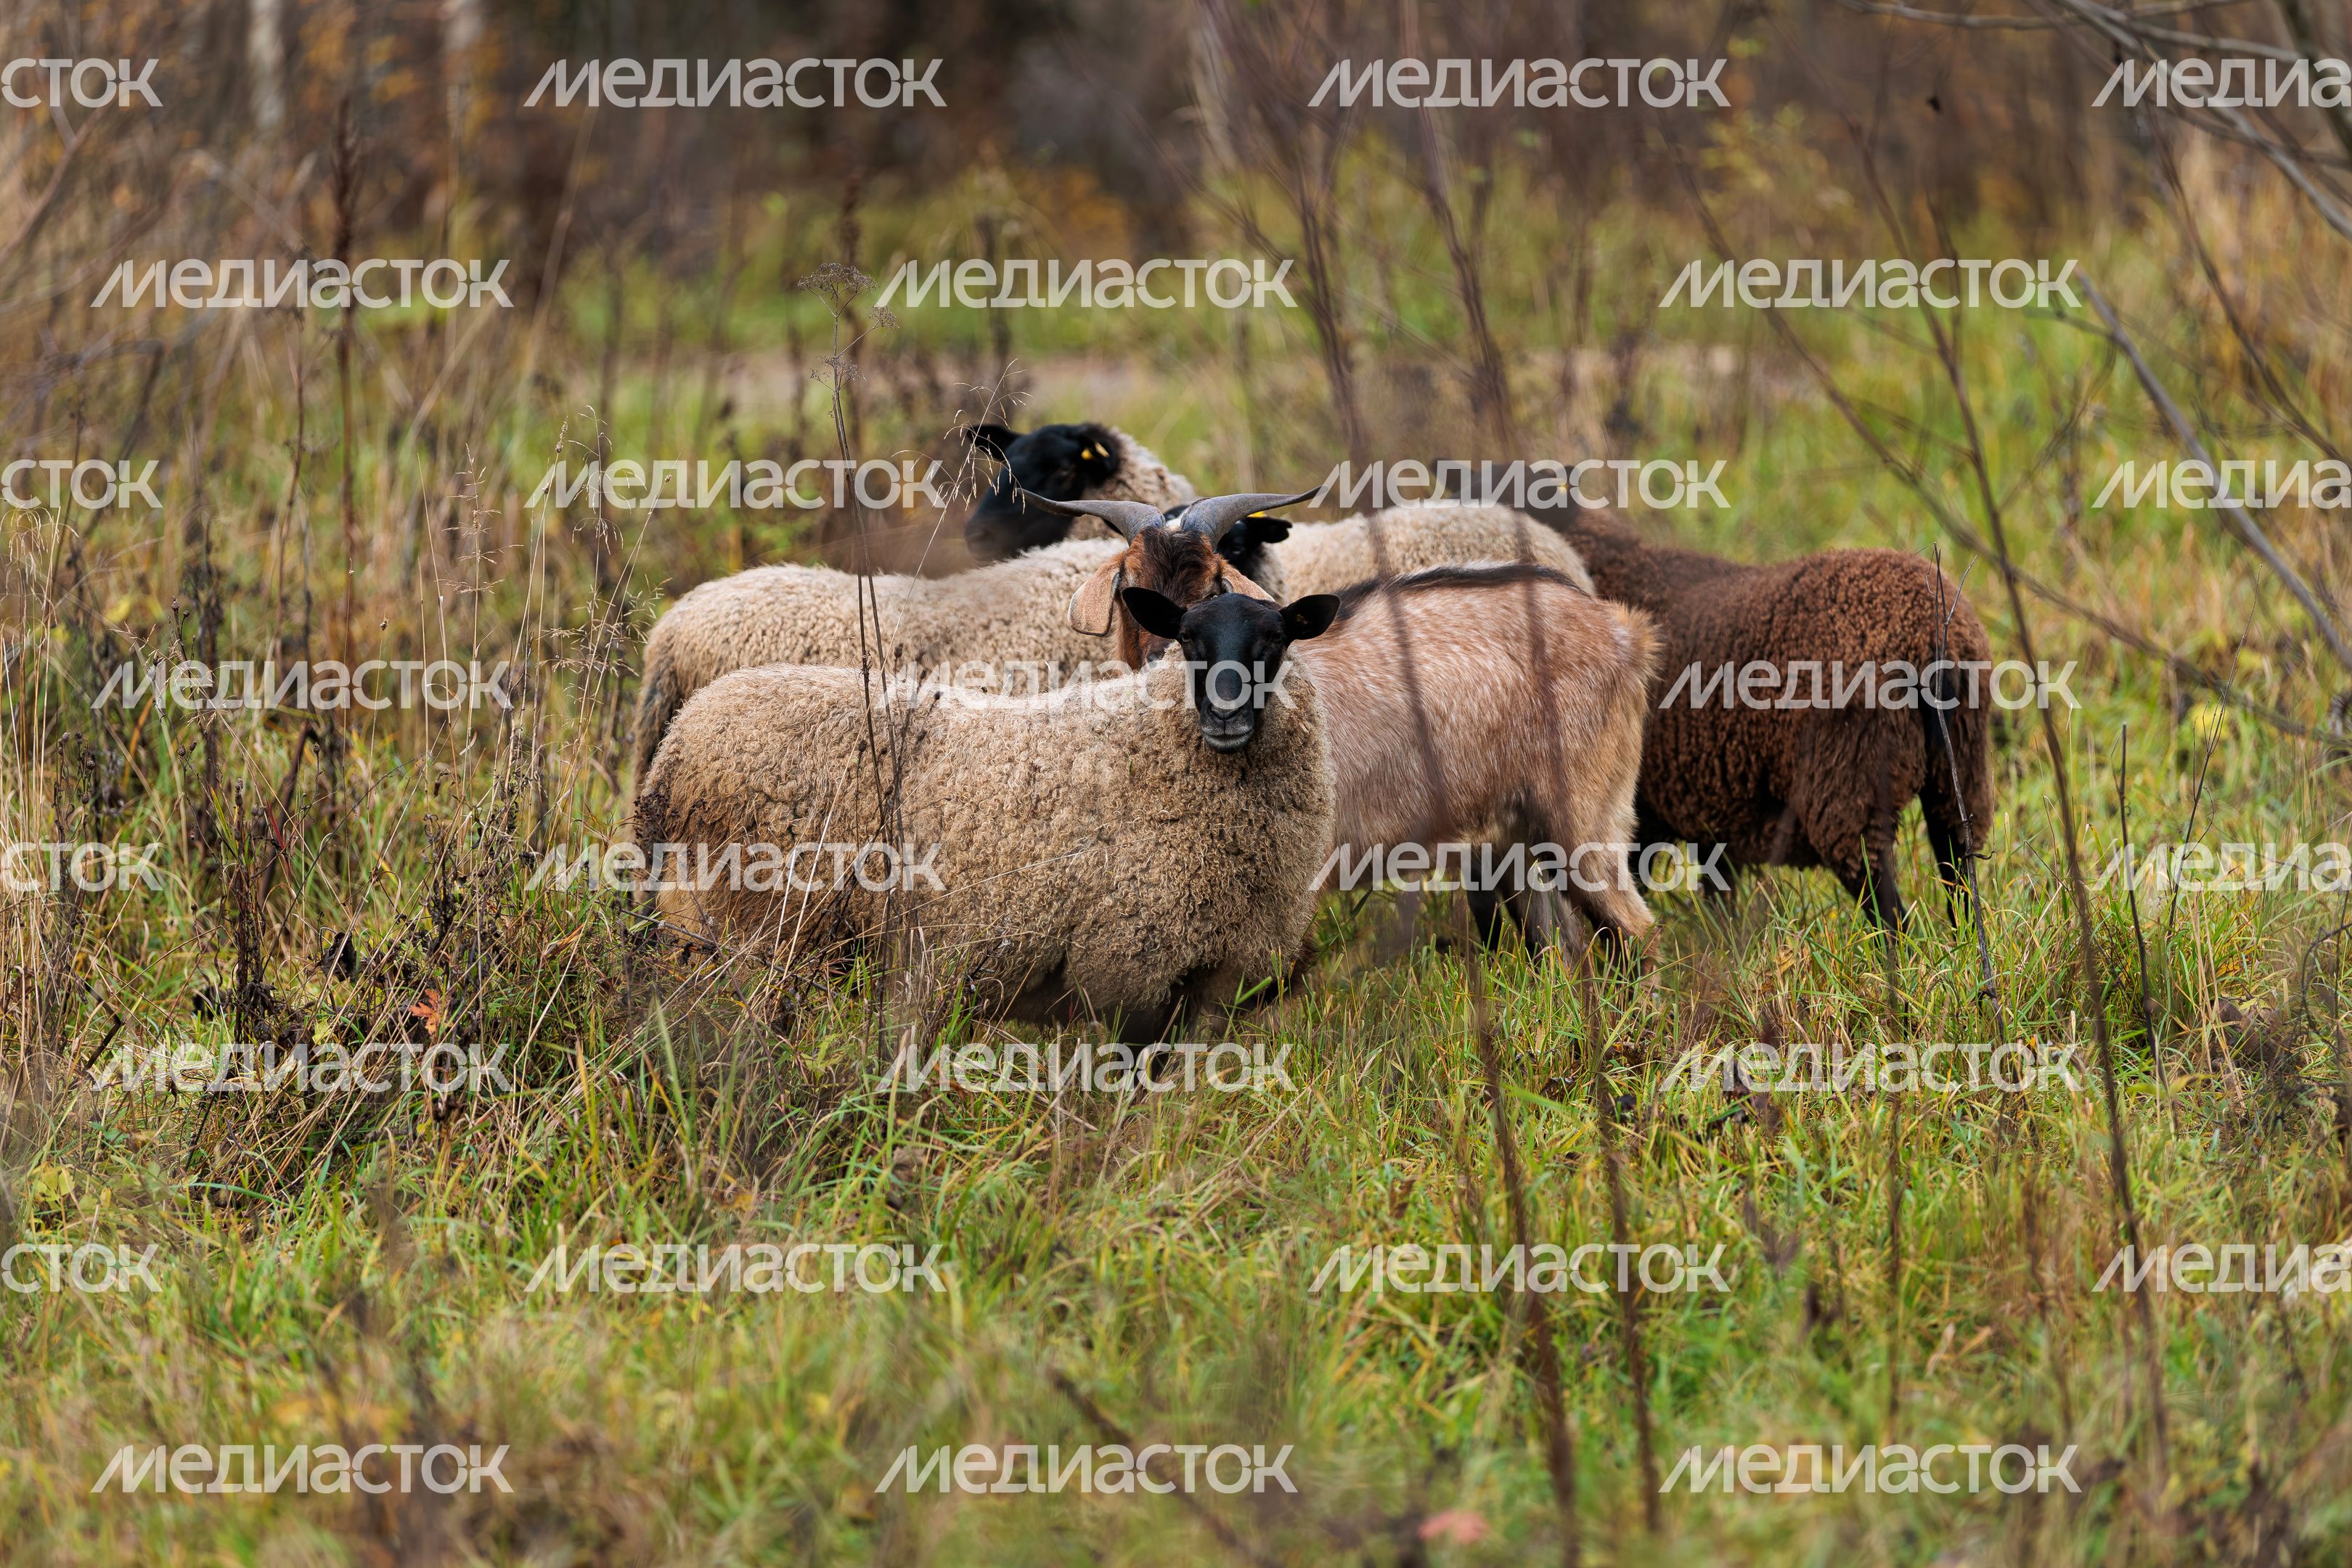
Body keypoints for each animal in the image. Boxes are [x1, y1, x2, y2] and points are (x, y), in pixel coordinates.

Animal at [632, 589, 1343, 1039]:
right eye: (1188, 639)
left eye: (1276, 640)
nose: (1225, 716)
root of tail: (677, 746)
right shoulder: (1127, 966)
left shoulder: (1210, 983)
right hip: (752, 928)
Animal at [1038, 492, 1659, 954]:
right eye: (1130, 587)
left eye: (1214, 582)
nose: (1220, 708)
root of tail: (1624, 632)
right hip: (1514, 829)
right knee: (1560, 944)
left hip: (1584, 815)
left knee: (1636, 931)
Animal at [1552, 507, 1996, 929]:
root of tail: (1927, 639)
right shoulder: (1712, 810)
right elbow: (1719, 898)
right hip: (1959, 771)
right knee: (1959, 873)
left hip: (1850, 786)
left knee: (1891, 913)